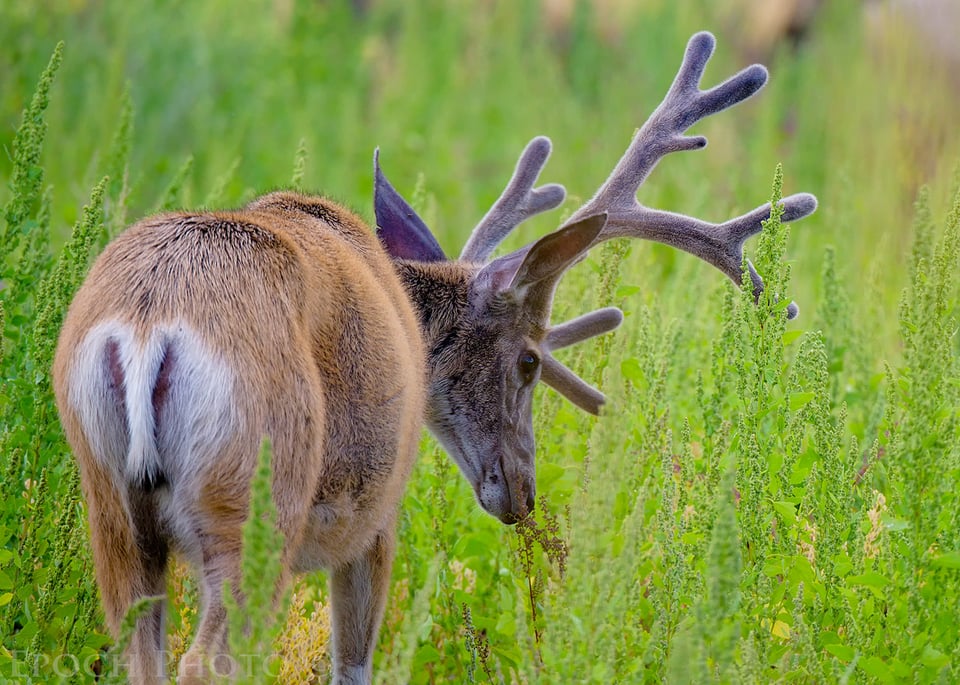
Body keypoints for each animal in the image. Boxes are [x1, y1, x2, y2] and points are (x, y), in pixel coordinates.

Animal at [52, 30, 816, 684]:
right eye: (530, 360)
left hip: (112, 508)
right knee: (208, 661)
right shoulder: (377, 513)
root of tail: (148, 325)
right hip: (259, 494)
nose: (523, 494)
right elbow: (352, 665)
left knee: (139, 654)